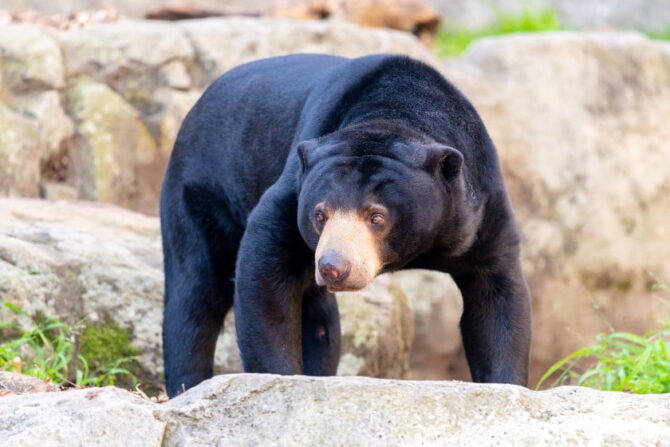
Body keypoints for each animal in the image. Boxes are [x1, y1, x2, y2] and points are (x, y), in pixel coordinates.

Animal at [160, 53, 531, 397]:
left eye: (377, 216)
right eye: (319, 215)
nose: (333, 267)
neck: (393, 114)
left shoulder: (480, 211)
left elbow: (496, 296)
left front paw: (505, 383)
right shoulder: (292, 191)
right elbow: (264, 271)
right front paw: (277, 377)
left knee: (319, 320)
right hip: (200, 191)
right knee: (195, 292)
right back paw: (187, 385)